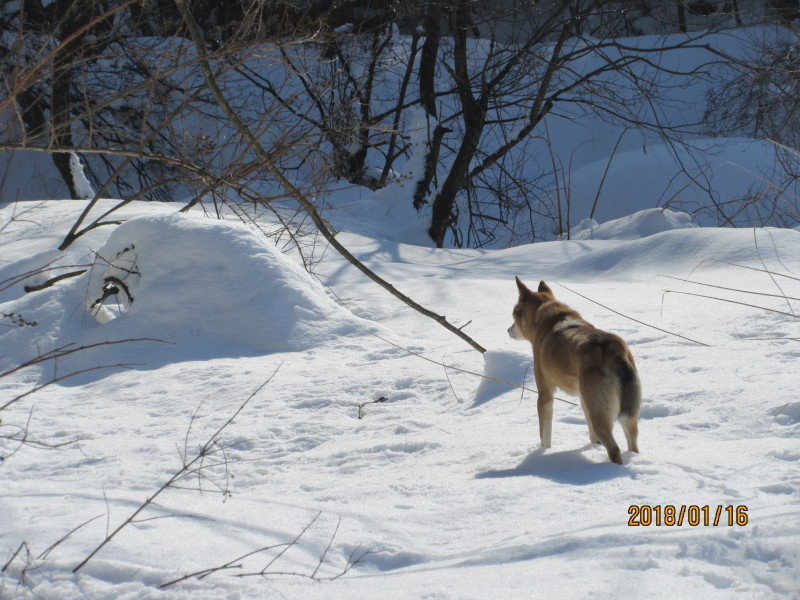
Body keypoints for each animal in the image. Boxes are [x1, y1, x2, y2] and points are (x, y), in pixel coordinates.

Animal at [510, 276, 640, 464]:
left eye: (514, 313)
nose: (508, 330)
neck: (552, 320)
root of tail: (613, 350)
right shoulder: (583, 398)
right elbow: (592, 435)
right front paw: (593, 446)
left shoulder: (545, 395)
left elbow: (545, 435)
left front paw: (543, 453)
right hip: (626, 414)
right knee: (633, 444)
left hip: (600, 414)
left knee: (614, 449)